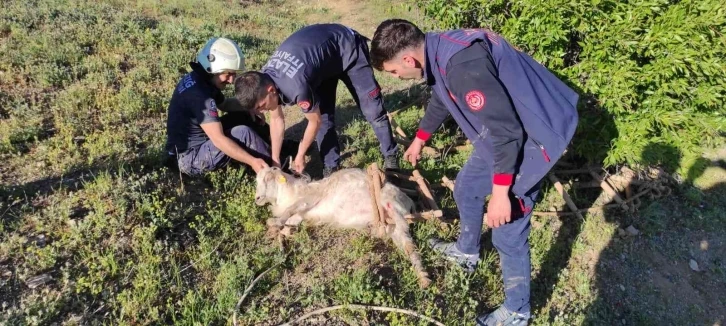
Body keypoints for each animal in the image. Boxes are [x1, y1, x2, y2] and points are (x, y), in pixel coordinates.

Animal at [256, 167, 432, 286]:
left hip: (392, 207)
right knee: (410, 247)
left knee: (404, 230)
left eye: (268, 179)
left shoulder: (309, 199)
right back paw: (423, 277)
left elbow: (291, 210)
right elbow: (290, 221)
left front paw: (273, 222)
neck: (292, 192)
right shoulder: (303, 214)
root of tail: (408, 201)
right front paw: (278, 232)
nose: (257, 198)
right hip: (394, 229)